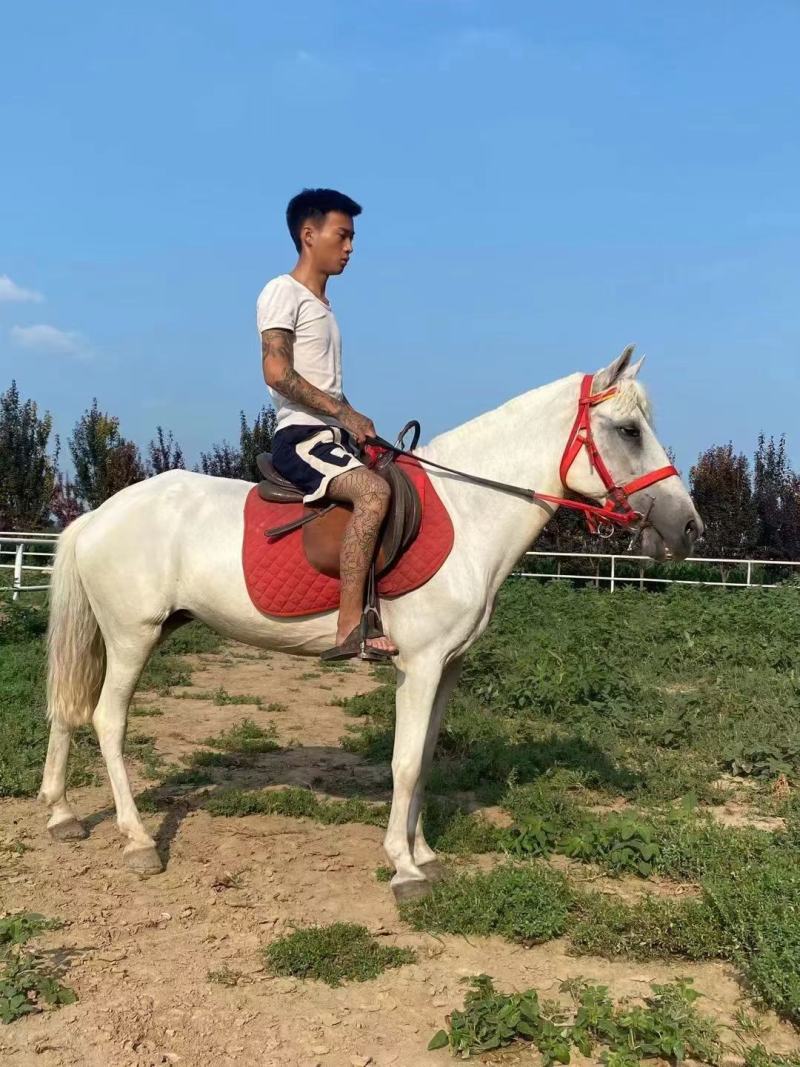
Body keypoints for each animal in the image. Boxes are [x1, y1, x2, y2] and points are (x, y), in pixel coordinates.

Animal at [39, 347, 702, 902]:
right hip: (133, 636)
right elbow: (404, 764)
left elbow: (424, 759)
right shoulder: (421, 665)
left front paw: (424, 852)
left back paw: (61, 813)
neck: (469, 511)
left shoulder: (448, 668)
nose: (687, 527)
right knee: (107, 720)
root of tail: (98, 516)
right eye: (628, 431)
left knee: (68, 710)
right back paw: (138, 841)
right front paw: (404, 869)